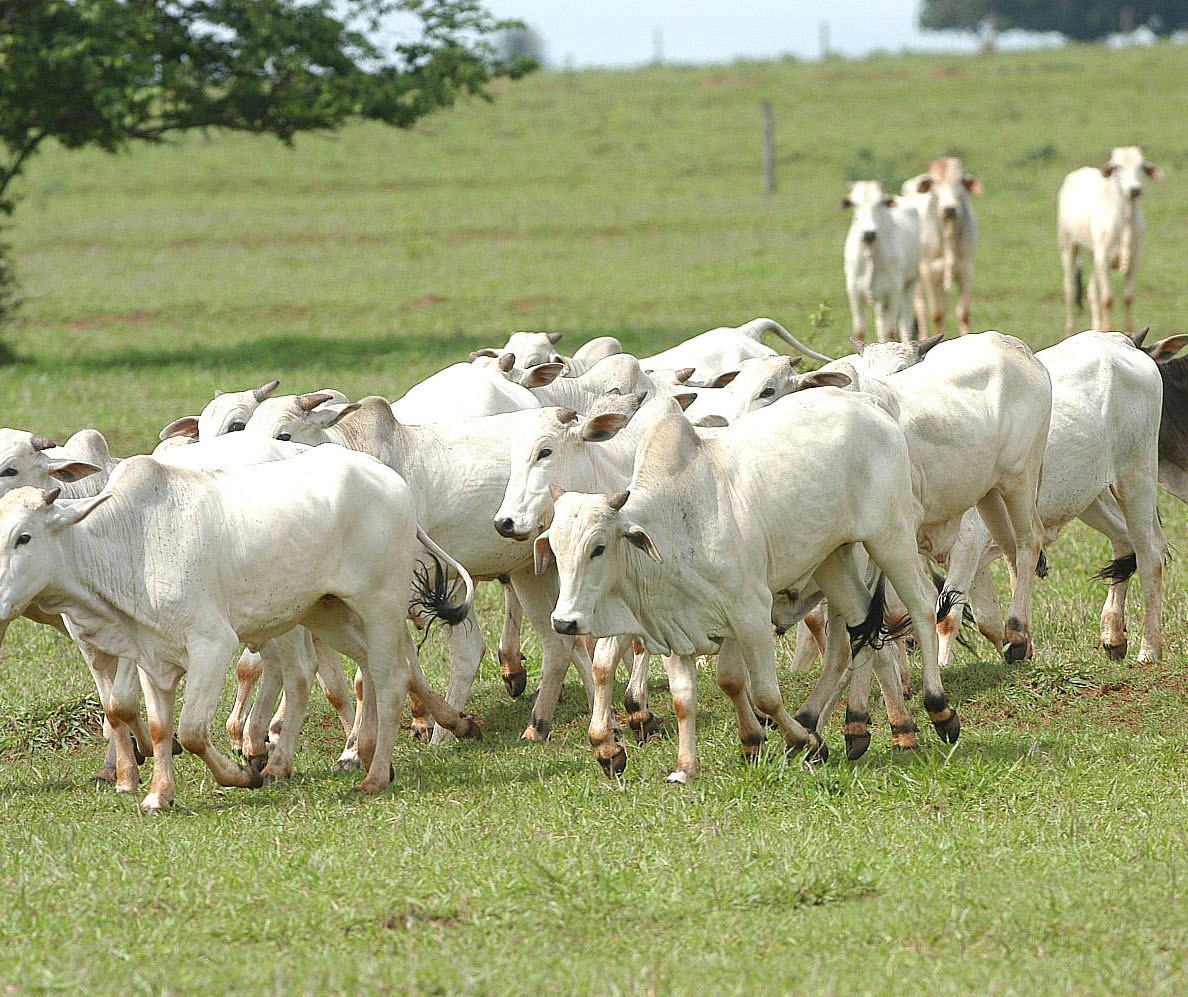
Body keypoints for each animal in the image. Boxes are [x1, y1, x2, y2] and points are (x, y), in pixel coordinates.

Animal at [0, 444, 477, 812]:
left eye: (24, 537)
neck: (132, 544)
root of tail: (391, 481)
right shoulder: (149, 657)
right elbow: (158, 727)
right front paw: (158, 794)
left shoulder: (212, 645)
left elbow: (192, 730)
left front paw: (245, 775)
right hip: (326, 612)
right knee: (373, 671)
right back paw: (428, 732)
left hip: (379, 605)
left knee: (389, 677)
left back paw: (374, 774)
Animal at [536, 389, 955, 789]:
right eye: (554, 547)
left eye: (598, 547)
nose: (564, 621)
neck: (677, 522)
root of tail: (867, 402)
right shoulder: (678, 628)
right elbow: (686, 698)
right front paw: (686, 768)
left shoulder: (749, 612)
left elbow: (765, 693)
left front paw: (803, 742)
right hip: (833, 561)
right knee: (861, 633)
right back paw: (858, 729)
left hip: (890, 537)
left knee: (920, 607)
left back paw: (937, 711)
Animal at [841, 181, 921, 344]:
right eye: (853, 203)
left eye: (880, 203)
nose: (869, 233)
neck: (870, 252)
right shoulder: (854, 292)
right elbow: (860, 332)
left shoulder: (893, 292)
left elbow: (890, 333)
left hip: (910, 284)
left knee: (905, 325)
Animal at [902, 158, 978, 337]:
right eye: (934, 183)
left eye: (960, 181)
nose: (949, 209)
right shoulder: (929, 272)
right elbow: (937, 313)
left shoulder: (966, 270)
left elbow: (963, 312)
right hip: (917, 278)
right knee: (921, 308)